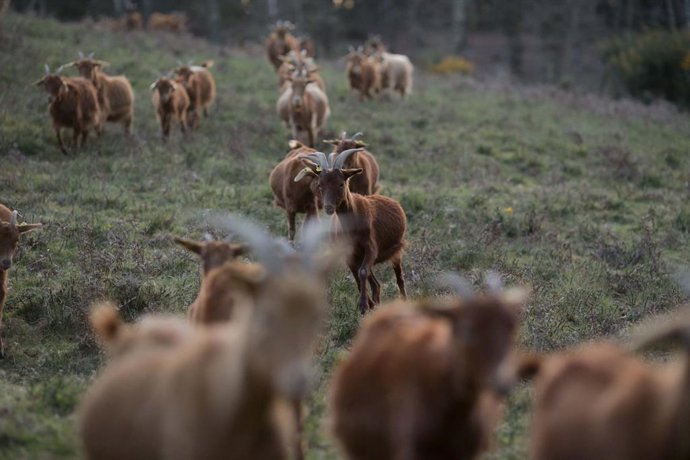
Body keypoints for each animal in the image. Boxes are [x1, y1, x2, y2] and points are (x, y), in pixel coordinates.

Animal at [299, 149, 406, 313]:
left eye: (341, 183)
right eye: (320, 185)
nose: (328, 207)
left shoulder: (371, 247)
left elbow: (362, 272)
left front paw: (363, 305)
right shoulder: (349, 253)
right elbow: (357, 275)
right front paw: (367, 305)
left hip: (396, 250)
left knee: (399, 277)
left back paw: (404, 301)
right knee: (376, 283)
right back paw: (376, 303)